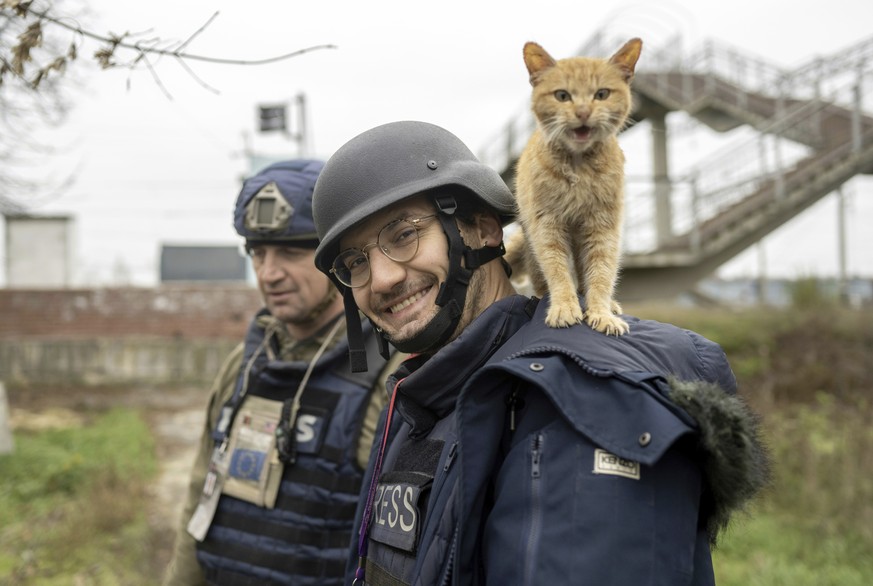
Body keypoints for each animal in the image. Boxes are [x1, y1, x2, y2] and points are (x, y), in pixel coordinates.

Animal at [504, 37, 640, 334]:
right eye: (562, 96)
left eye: (601, 94)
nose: (583, 112)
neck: (579, 169)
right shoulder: (547, 226)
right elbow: (558, 271)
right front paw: (564, 307)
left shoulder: (603, 227)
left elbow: (601, 273)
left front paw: (601, 312)